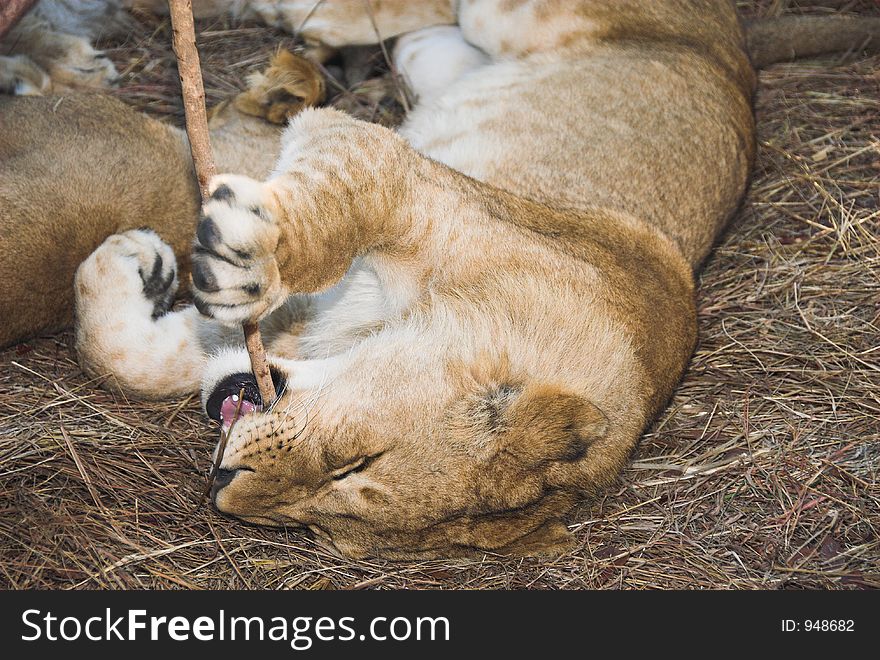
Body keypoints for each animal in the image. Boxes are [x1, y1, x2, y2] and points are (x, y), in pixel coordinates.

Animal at [41, 1, 880, 556]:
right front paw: (236, 256)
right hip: (522, 17)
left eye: (325, 515)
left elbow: (142, 361)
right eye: (357, 461)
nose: (223, 488)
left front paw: (128, 262)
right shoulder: (390, 168)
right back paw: (303, 15)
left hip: (447, 55)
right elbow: (330, 209)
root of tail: (737, 43)